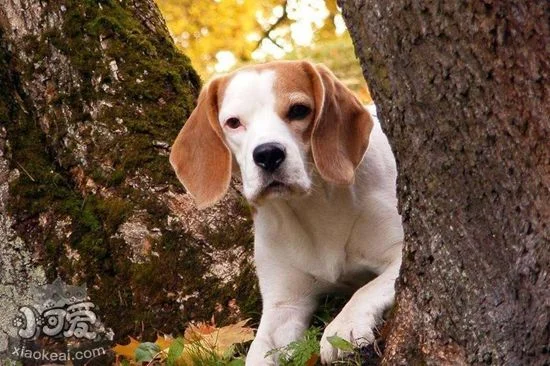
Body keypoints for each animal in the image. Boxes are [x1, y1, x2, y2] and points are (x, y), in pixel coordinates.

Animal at [171, 61, 406, 364]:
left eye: (298, 110)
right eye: (233, 122)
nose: (268, 154)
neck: (313, 207)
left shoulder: (400, 254)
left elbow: (366, 290)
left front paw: (344, 325)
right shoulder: (284, 305)